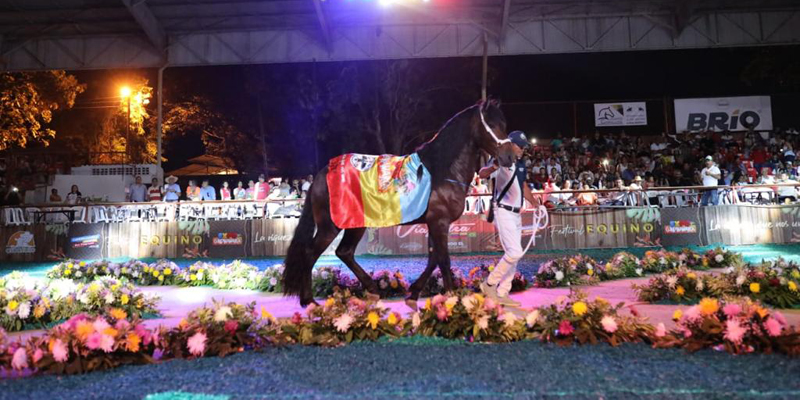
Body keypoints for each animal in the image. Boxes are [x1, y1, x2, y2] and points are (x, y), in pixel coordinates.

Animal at [282, 100, 512, 306]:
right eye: (491, 125)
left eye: (503, 124)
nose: (509, 156)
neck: (441, 170)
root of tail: (322, 174)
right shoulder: (440, 222)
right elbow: (444, 260)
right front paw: (453, 297)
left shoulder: (433, 223)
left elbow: (433, 259)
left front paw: (414, 293)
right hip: (330, 226)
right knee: (311, 253)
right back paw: (309, 300)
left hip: (356, 225)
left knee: (344, 252)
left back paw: (372, 288)